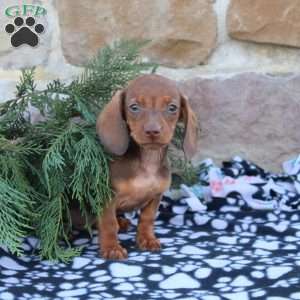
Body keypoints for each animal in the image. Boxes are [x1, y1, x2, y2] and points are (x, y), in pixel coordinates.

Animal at [97, 74, 198, 258]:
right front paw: (111, 248)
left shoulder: (156, 196)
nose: (152, 131)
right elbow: (108, 223)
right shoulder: (106, 197)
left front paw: (147, 239)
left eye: (172, 108)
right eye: (134, 107)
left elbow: (147, 219)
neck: (148, 161)